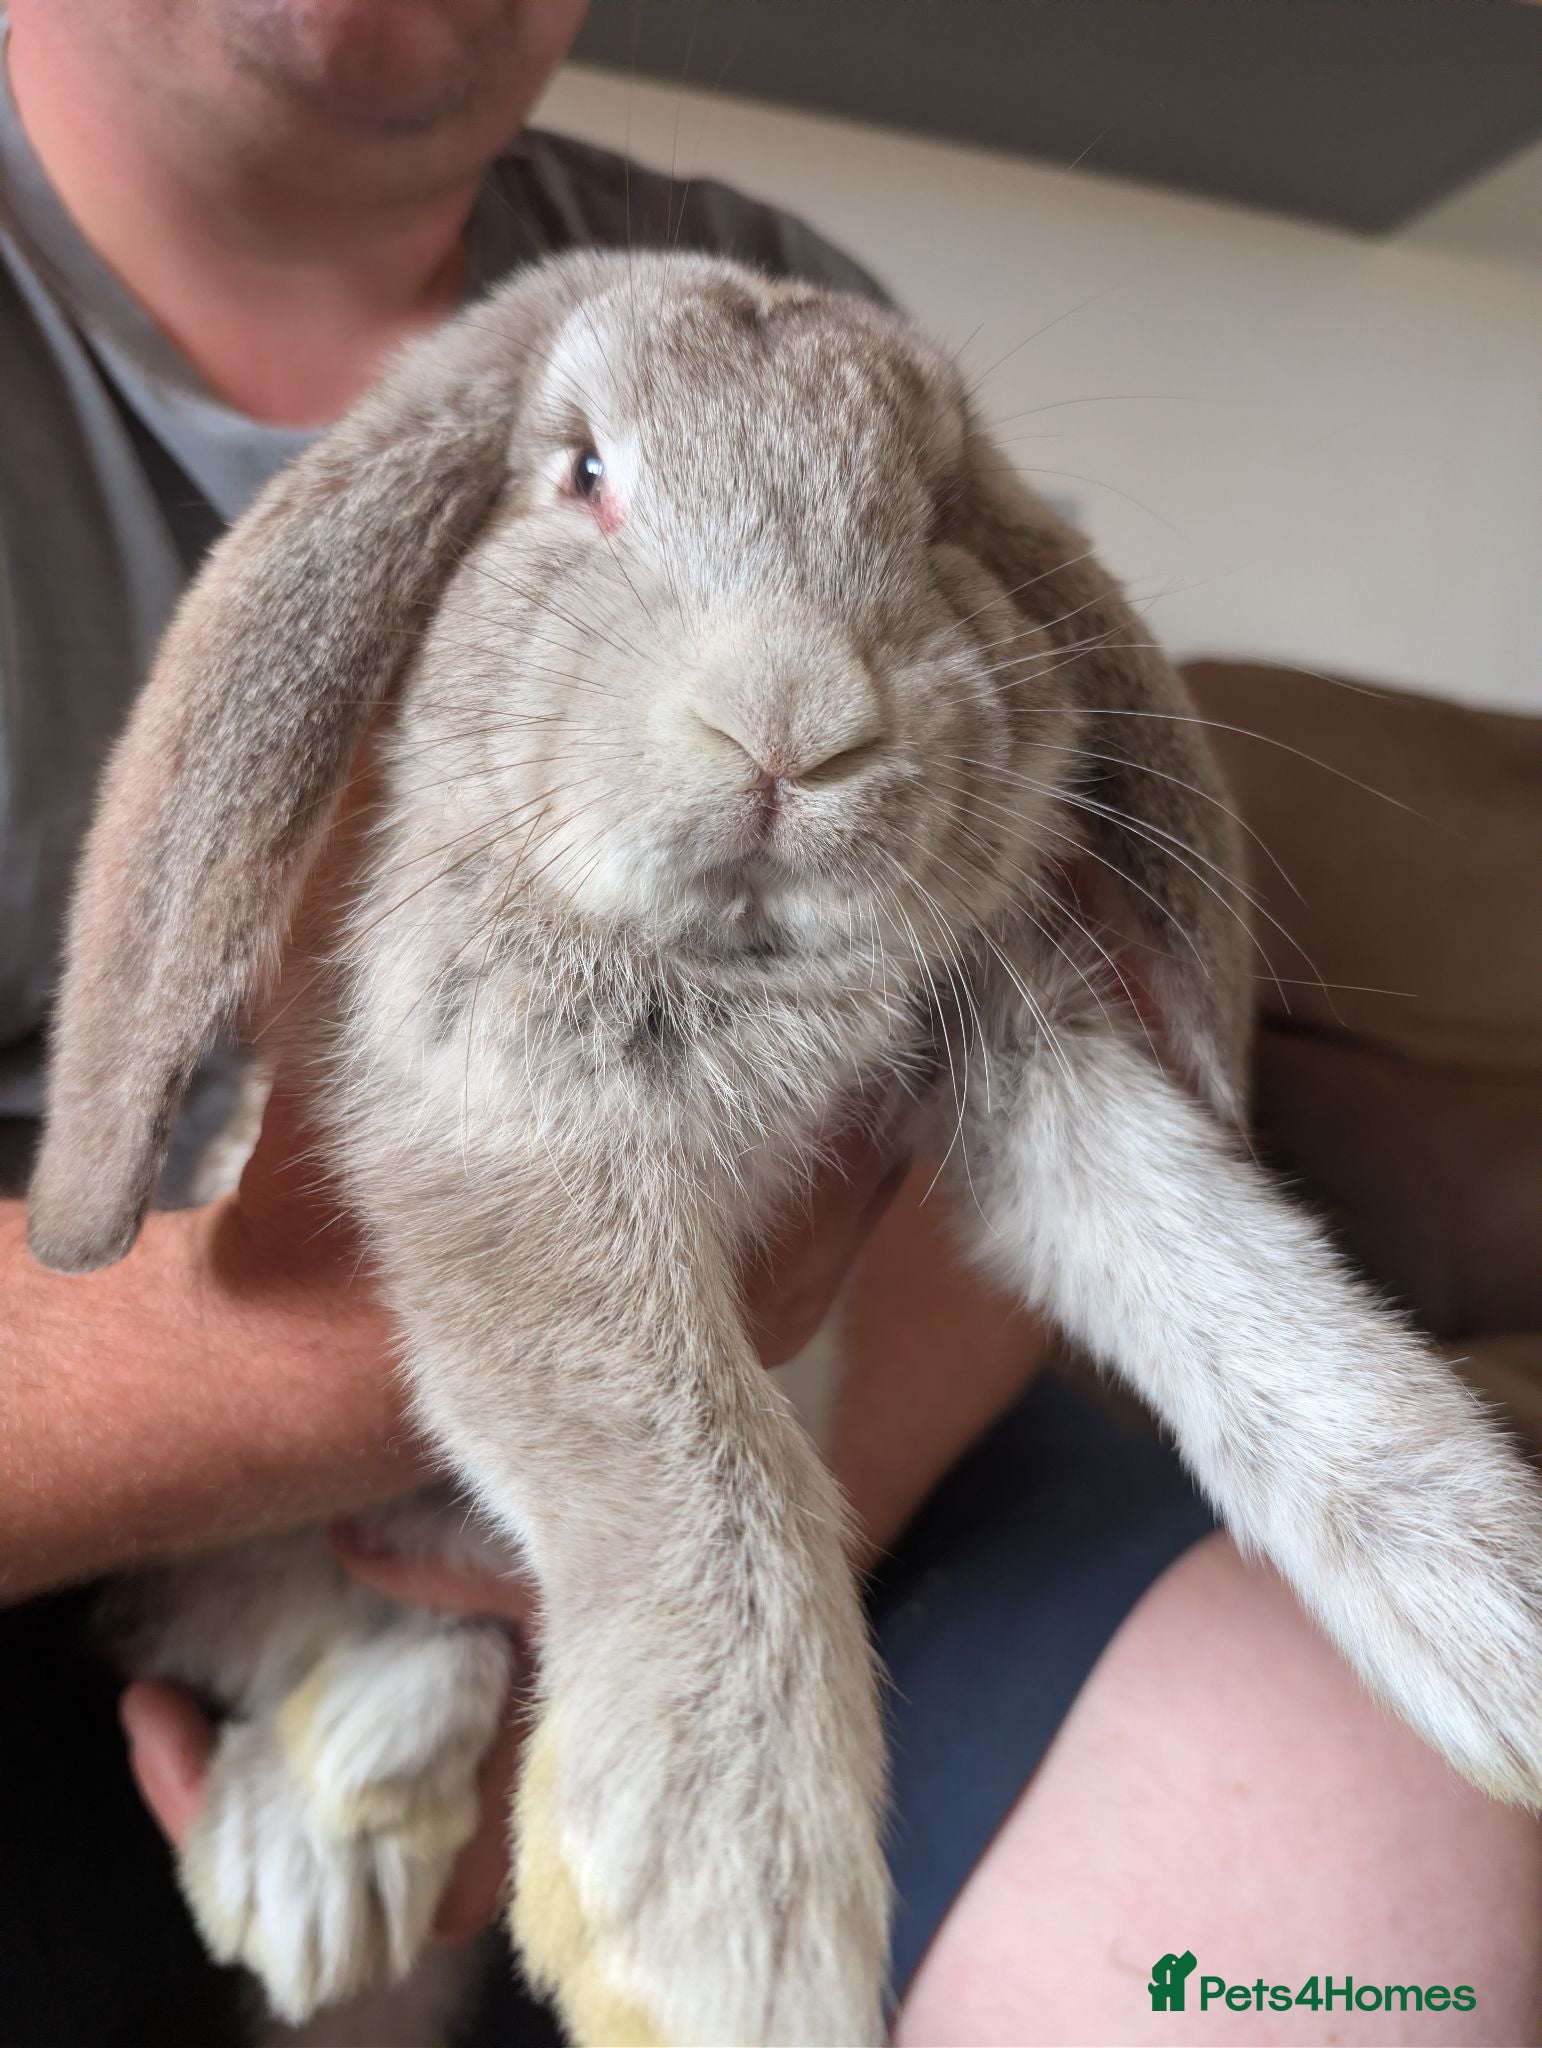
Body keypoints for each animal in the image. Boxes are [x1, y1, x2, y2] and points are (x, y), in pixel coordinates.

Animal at [27, 248, 1542, 2048]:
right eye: (581, 474)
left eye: (940, 511)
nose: (795, 722)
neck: (742, 968)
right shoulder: (497, 1160)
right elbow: (695, 1459)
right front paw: (719, 1935)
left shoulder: (1028, 1065)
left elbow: (1232, 1280)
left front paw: (1494, 1628)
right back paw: (314, 1852)